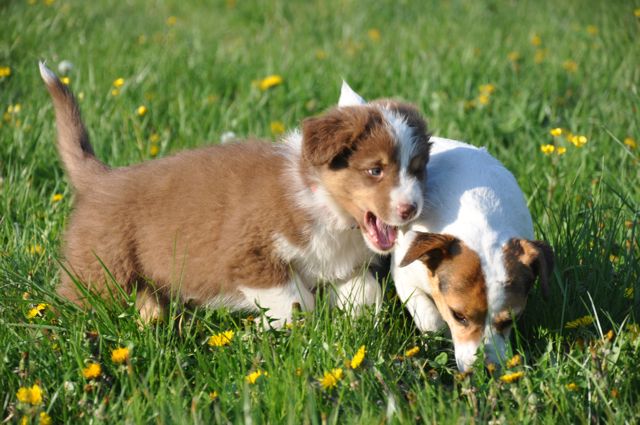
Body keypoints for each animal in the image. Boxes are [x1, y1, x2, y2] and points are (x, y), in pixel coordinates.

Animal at [38, 64, 430, 324]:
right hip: (99, 271)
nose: (411, 210)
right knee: (73, 302)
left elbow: (365, 293)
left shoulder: (341, 264)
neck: (322, 202)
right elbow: (297, 303)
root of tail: (102, 178)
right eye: (375, 170)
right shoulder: (247, 256)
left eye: (417, 169)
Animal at [388, 137, 552, 370]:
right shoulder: (405, 277)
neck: (480, 224)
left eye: (510, 319)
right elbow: (431, 318)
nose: (485, 369)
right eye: (458, 316)